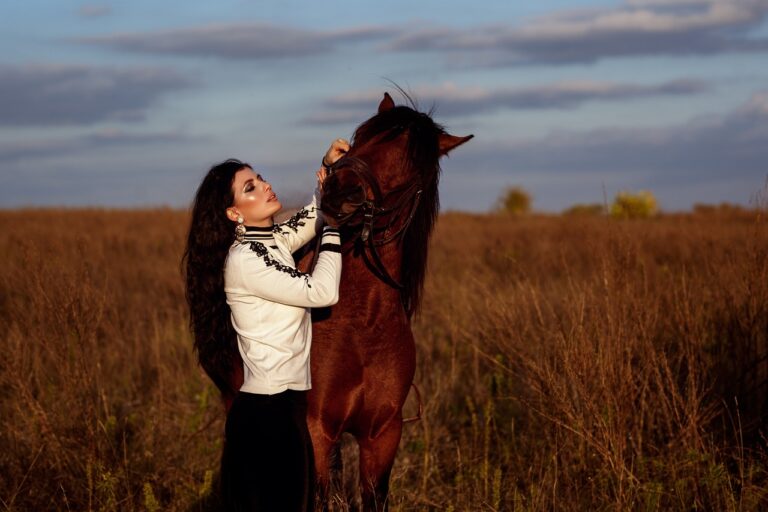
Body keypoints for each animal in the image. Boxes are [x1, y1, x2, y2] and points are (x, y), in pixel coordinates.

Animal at [302, 91, 472, 508]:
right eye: (361, 137)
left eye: (413, 166)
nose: (338, 192)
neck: (361, 324)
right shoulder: (316, 429)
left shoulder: (382, 435)